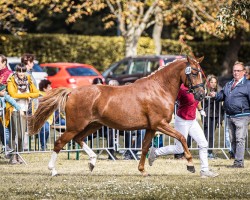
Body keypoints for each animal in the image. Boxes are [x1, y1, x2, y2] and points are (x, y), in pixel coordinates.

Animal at [28, 55, 205, 176]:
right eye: (194, 73)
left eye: (201, 73)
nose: (202, 94)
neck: (159, 89)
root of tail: (72, 92)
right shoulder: (160, 124)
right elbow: (181, 137)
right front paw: (191, 165)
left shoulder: (151, 127)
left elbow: (145, 147)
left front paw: (142, 170)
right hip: (75, 126)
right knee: (59, 143)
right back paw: (53, 170)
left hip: (93, 125)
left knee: (79, 139)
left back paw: (92, 162)